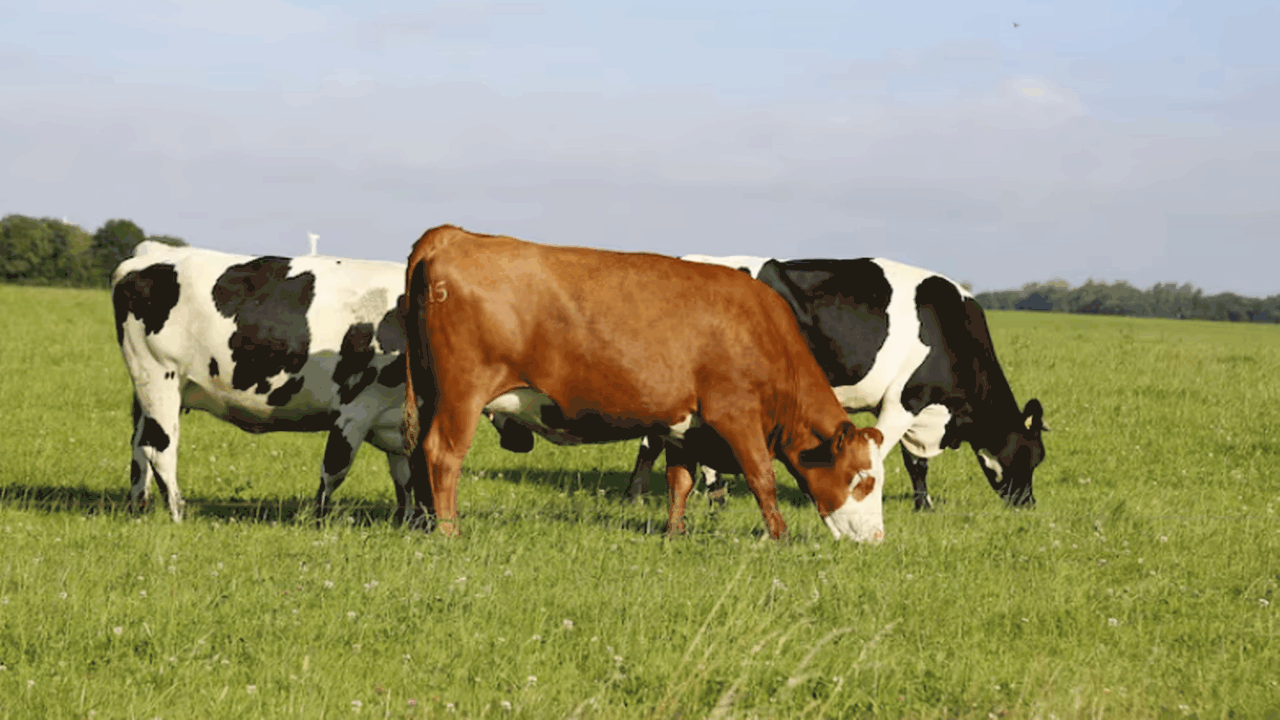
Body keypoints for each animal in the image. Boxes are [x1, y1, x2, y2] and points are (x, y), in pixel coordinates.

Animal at [111, 241, 411, 522]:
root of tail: (155, 252)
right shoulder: (355, 409)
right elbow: (334, 472)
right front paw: (319, 523)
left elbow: (405, 481)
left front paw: (410, 522)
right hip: (159, 377)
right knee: (158, 449)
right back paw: (177, 515)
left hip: (150, 390)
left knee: (139, 449)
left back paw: (139, 511)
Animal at [401, 225, 888, 541]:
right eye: (862, 479)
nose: (877, 537)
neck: (760, 328)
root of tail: (455, 235)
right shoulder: (735, 413)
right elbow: (762, 478)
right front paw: (780, 537)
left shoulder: (684, 424)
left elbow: (680, 481)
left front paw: (675, 533)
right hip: (462, 394)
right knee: (442, 453)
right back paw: (449, 531)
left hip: (428, 392)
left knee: (417, 451)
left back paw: (422, 522)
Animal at [625, 256, 1047, 511]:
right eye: (1034, 455)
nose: (1027, 504)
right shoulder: (905, 400)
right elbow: (883, 452)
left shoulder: (910, 404)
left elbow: (915, 464)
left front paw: (922, 505)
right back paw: (644, 496)